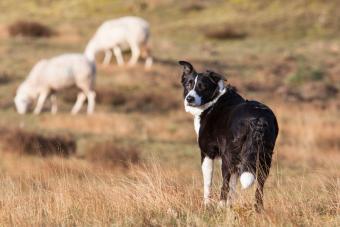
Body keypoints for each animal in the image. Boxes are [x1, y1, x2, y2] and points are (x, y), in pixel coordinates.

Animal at [179, 60, 278, 211]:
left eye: (203, 87)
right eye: (188, 84)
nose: (189, 98)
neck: (214, 99)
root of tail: (258, 119)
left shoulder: (207, 153)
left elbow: (209, 183)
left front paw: (207, 205)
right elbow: (233, 186)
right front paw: (229, 207)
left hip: (228, 156)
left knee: (225, 183)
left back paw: (220, 205)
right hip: (263, 158)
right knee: (259, 185)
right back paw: (258, 209)